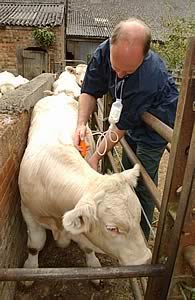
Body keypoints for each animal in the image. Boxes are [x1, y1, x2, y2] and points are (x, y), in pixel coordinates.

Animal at [18, 92, 152, 284]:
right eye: (112, 228)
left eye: (138, 216)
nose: (145, 260)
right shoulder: (27, 211)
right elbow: (35, 244)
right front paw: (30, 271)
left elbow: (88, 248)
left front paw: (94, 266)